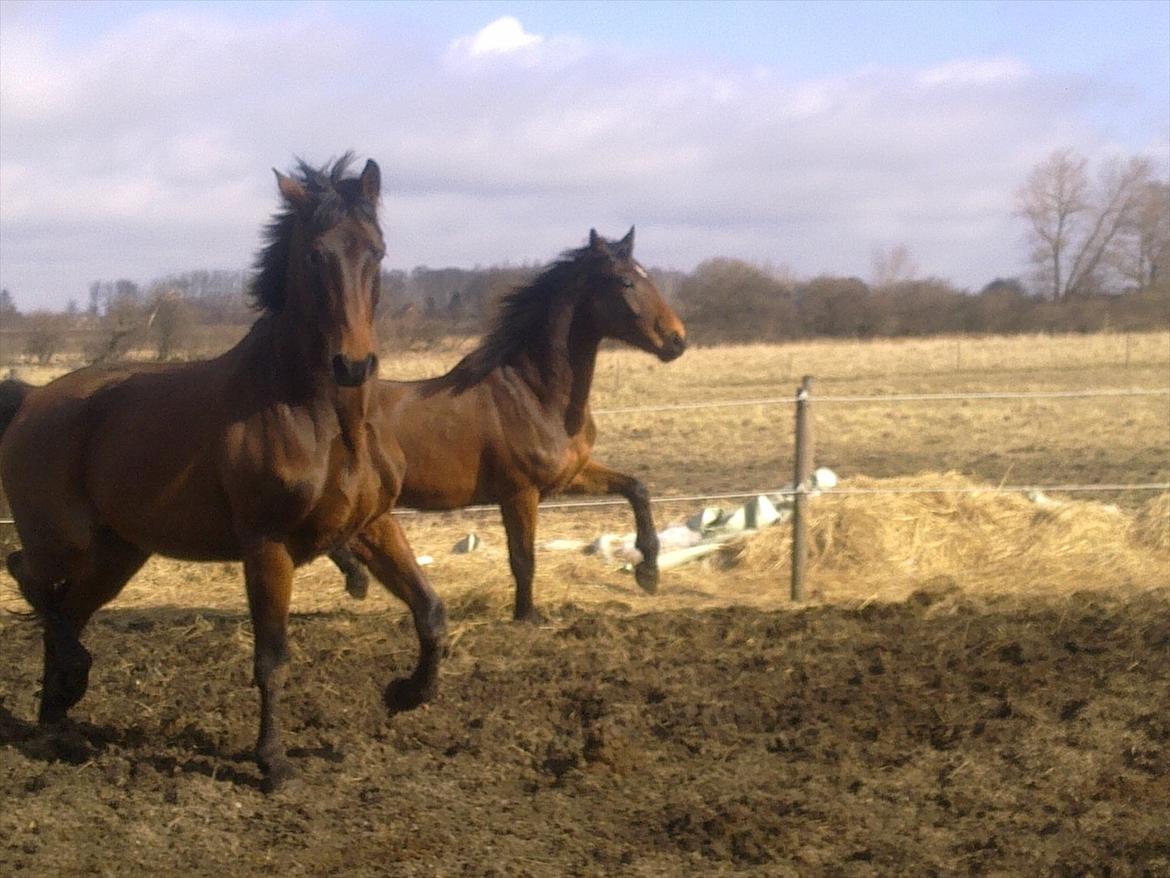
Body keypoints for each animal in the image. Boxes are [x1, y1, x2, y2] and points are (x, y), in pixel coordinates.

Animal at [0, 158, 446, 796]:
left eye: (377, 251)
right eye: (315, 255)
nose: (353, 365)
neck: (324, 419)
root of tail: (32, 399)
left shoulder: (371, 524)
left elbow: (430, 611)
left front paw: (406, 693)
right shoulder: (267, 545)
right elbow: (272, 656)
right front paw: (273, 763)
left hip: (117, 553)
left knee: (69, 607)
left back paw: (59, 715)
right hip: (65, 540)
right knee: (26, 575)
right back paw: (70, 684)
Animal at [329, 228, 683, 627]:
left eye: (647, 277)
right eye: (625, 281)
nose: (677, 340)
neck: (537, 395)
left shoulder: (568, 476)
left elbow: (636, 488)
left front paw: (649, 574)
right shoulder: (520, 492)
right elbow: (523, 558)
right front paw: (526, 617)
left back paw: (356, 579)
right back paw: (356, 578)